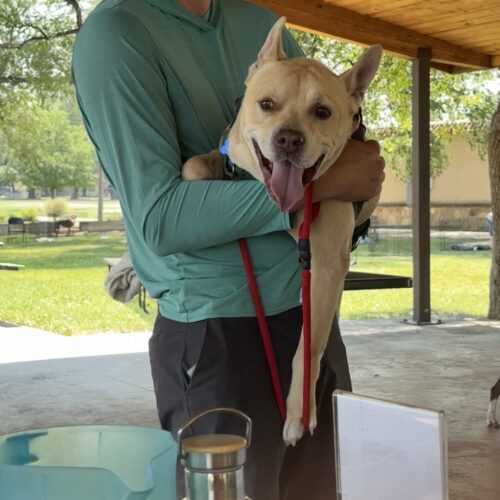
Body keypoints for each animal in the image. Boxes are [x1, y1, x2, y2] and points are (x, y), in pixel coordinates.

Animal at [184, 16, 382, 446]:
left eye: (322, 111)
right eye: (266, 104)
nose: (289, 138)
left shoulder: (325, 265)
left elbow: (306, 349)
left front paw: (298, 414)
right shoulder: (224, 158)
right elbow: (193, 165)